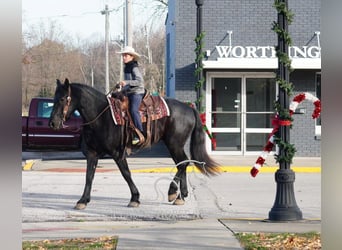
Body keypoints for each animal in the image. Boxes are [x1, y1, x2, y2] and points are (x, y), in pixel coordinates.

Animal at [48, 78, 219, 209]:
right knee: (182, 164)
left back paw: (173, 193)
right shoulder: (92, 154)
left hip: (174, 144)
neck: (101, 116)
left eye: (63, 99)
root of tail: (189, 108)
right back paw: (180, 195)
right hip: (174, 144)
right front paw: (83, 200)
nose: (52, 123)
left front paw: (135, 198)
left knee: (183, 163)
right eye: (54, 99)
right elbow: (89, 176)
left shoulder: (117, 153)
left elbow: (126, 173)